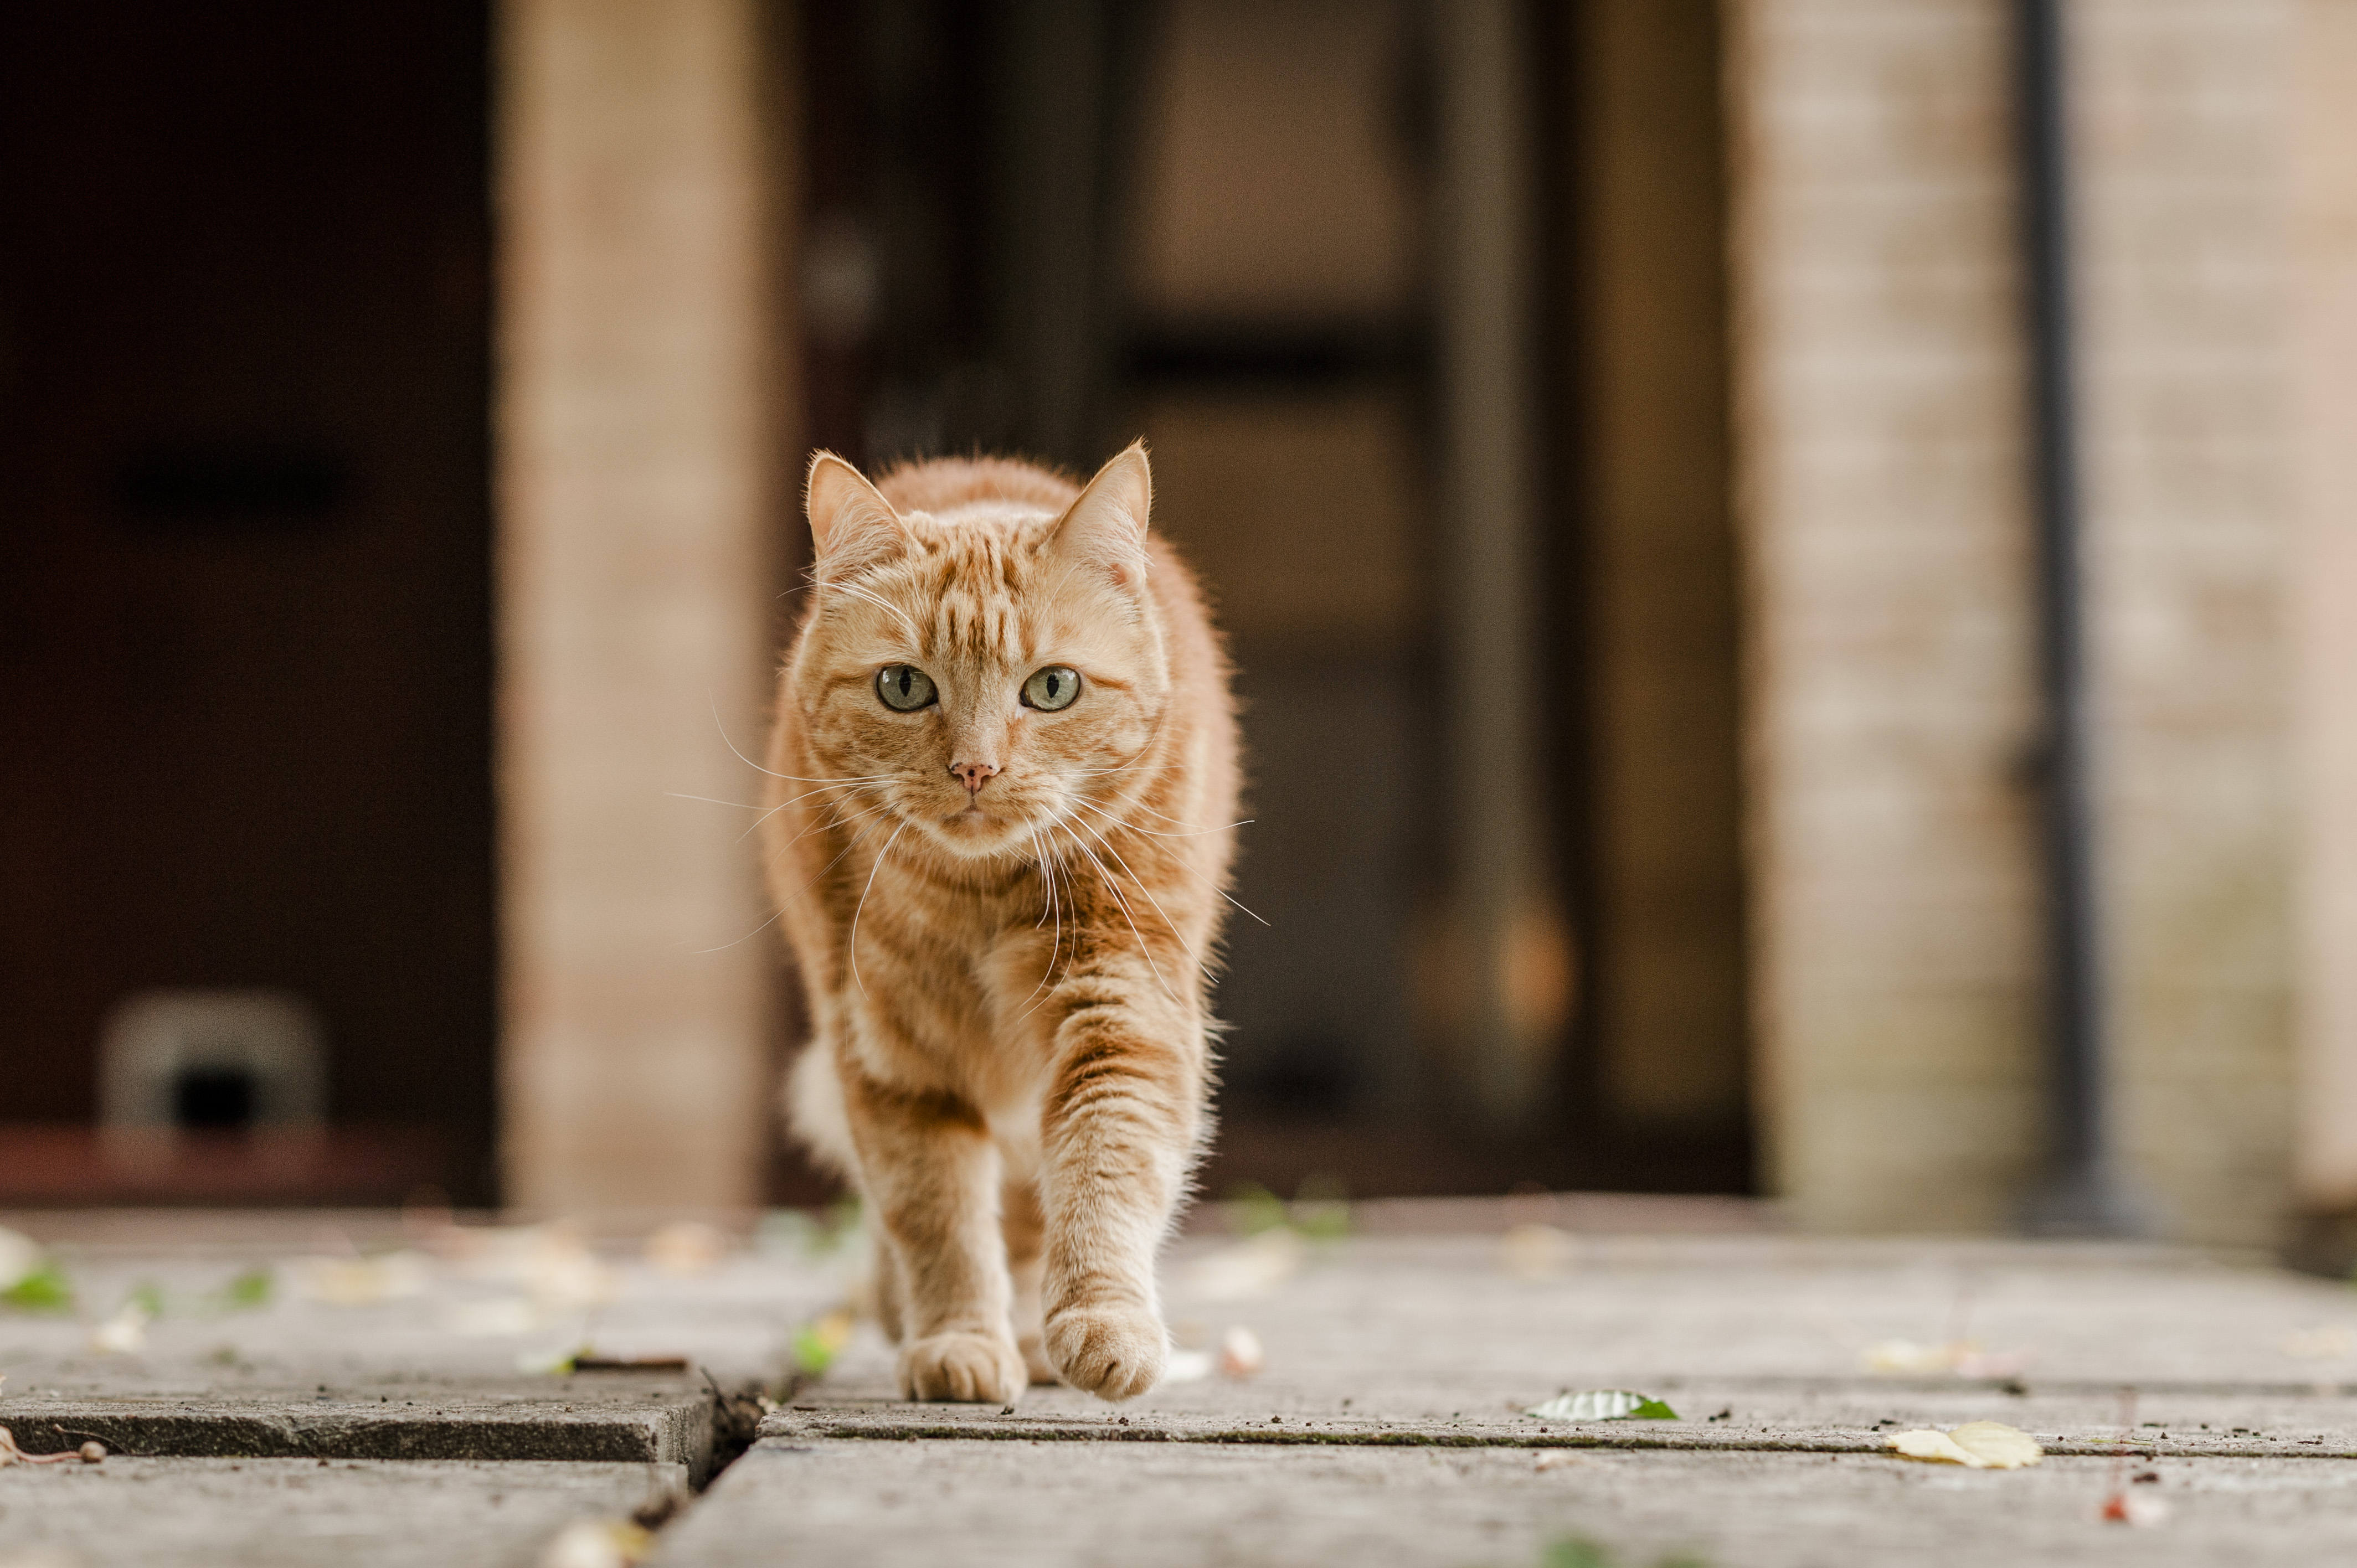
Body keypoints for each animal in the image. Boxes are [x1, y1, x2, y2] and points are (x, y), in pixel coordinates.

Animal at [763, 443, 1244, 1405]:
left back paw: (1033, 1335)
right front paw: (956, 1339)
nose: (975, 769)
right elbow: (935, 1216)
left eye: (1052, 687)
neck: (981, 900)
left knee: (1028, 1211)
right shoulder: (893, 1058)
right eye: (903, 686)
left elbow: (1105, 1166)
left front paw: (1101, 1321)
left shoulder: (1122, 1014)